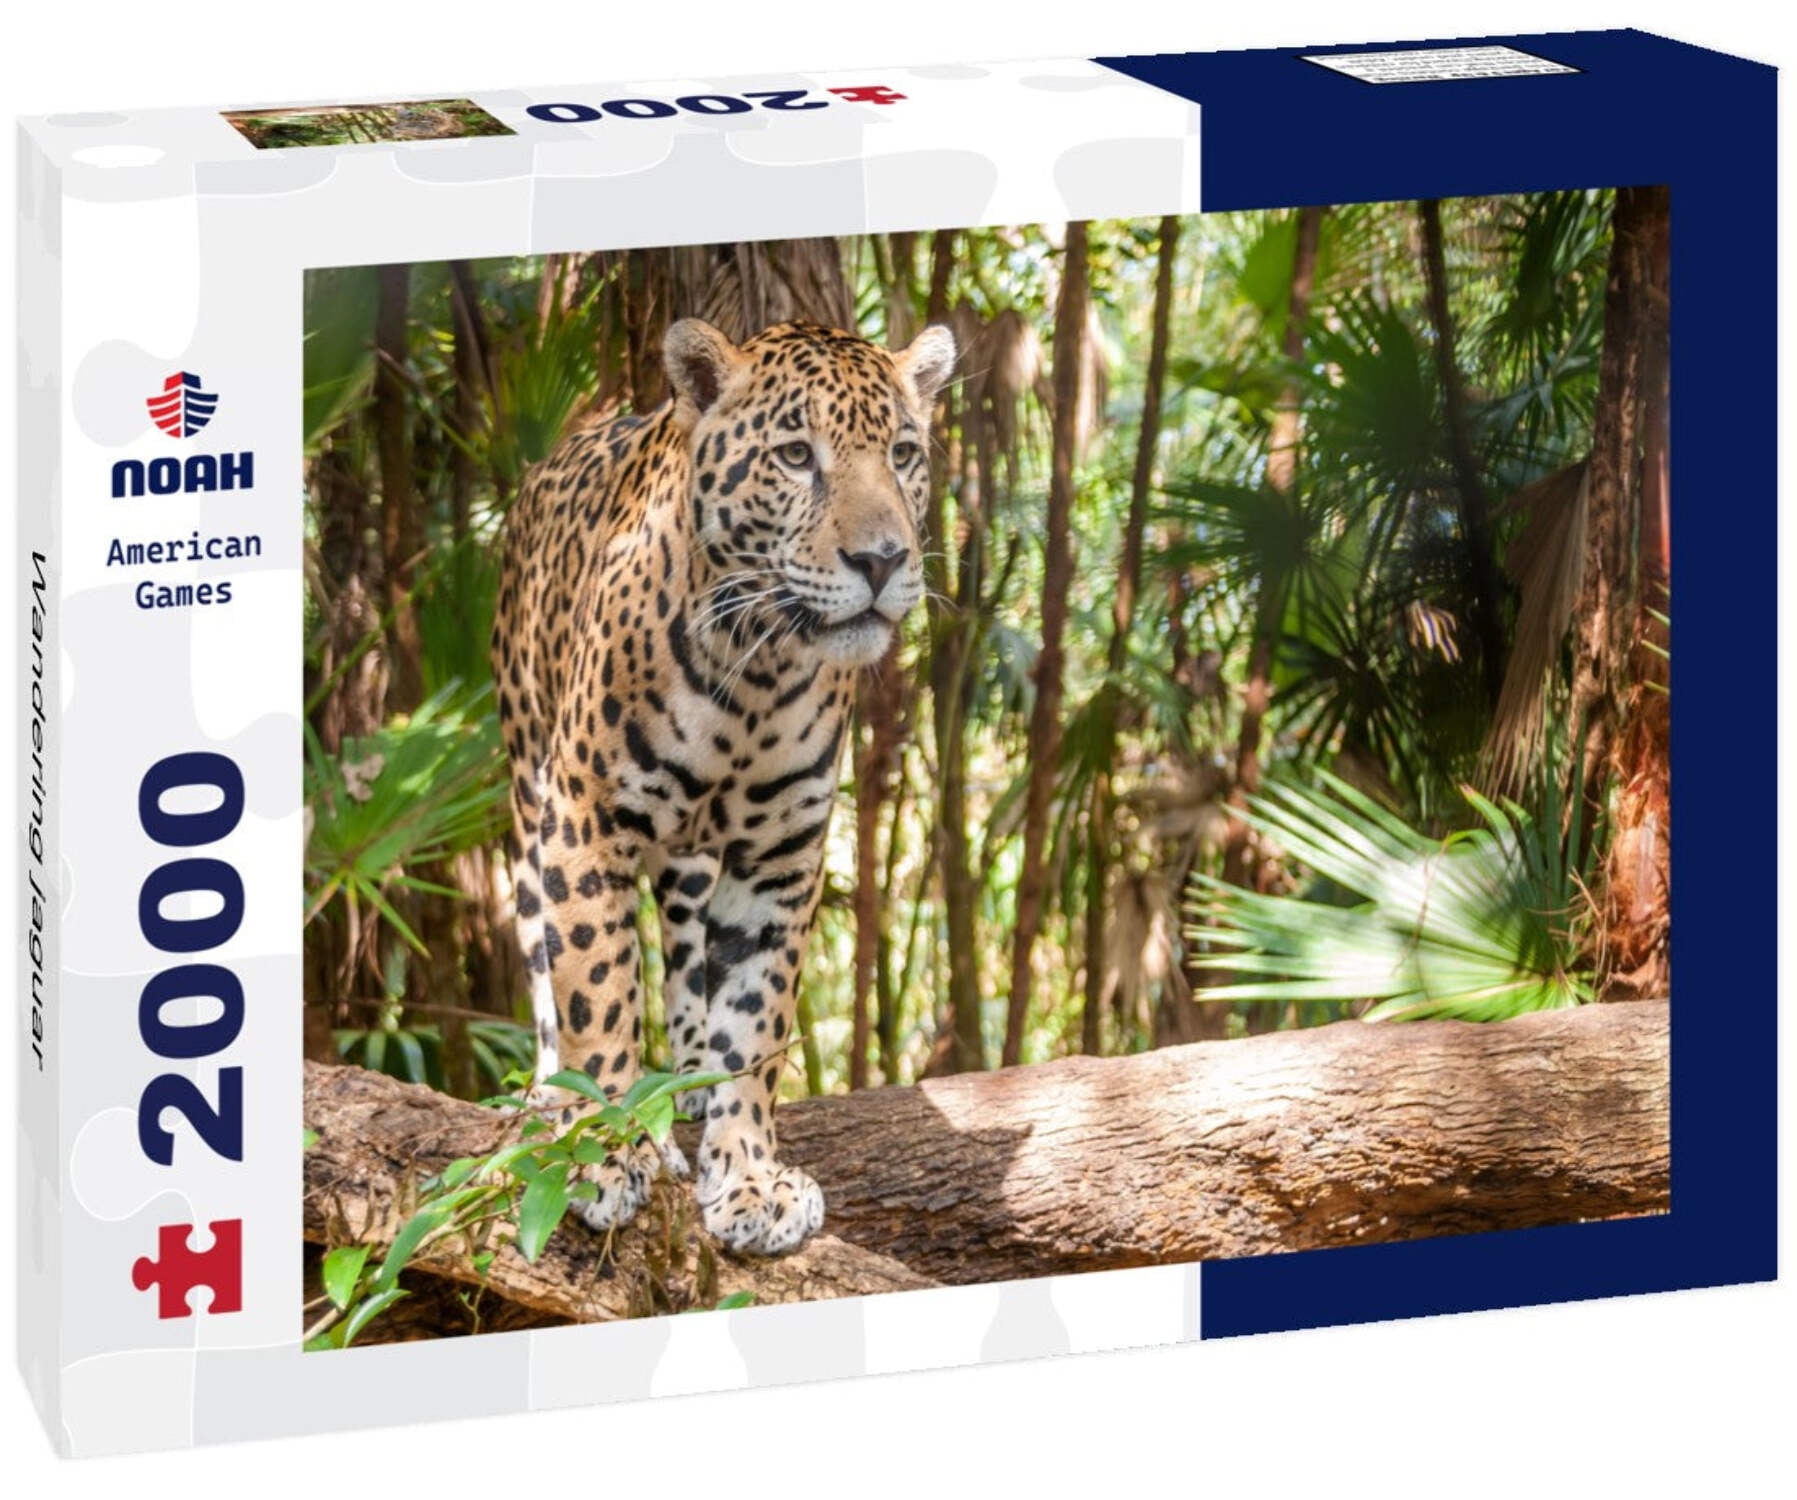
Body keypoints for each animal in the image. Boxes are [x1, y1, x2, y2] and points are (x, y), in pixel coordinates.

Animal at [492, 316, 955, 1257]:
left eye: (900, 452)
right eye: (795, 455)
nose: (883, 559)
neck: (758, 671)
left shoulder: (779, 858)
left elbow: (755, 1017)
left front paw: (747, 1175)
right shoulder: (584, 820)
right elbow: (598, 988)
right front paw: (604, 1150)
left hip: (691, 860)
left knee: (683, 958)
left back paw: (687, 1086)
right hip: (527, 797)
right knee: (546, 968)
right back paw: (554, 1098)